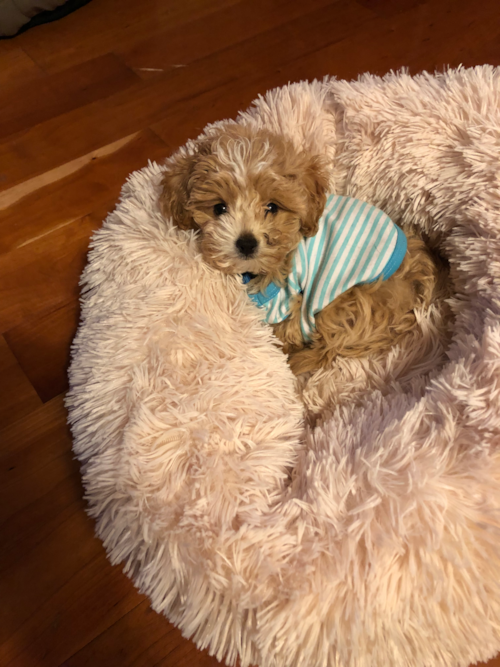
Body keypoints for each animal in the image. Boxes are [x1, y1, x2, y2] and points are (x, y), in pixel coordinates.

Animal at [159, 124, 442, 376]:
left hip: (345, 297)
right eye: (219, 208)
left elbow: (288, 327)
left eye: (272, 207)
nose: (246, 243)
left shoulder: (287, 298)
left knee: (329, 347)